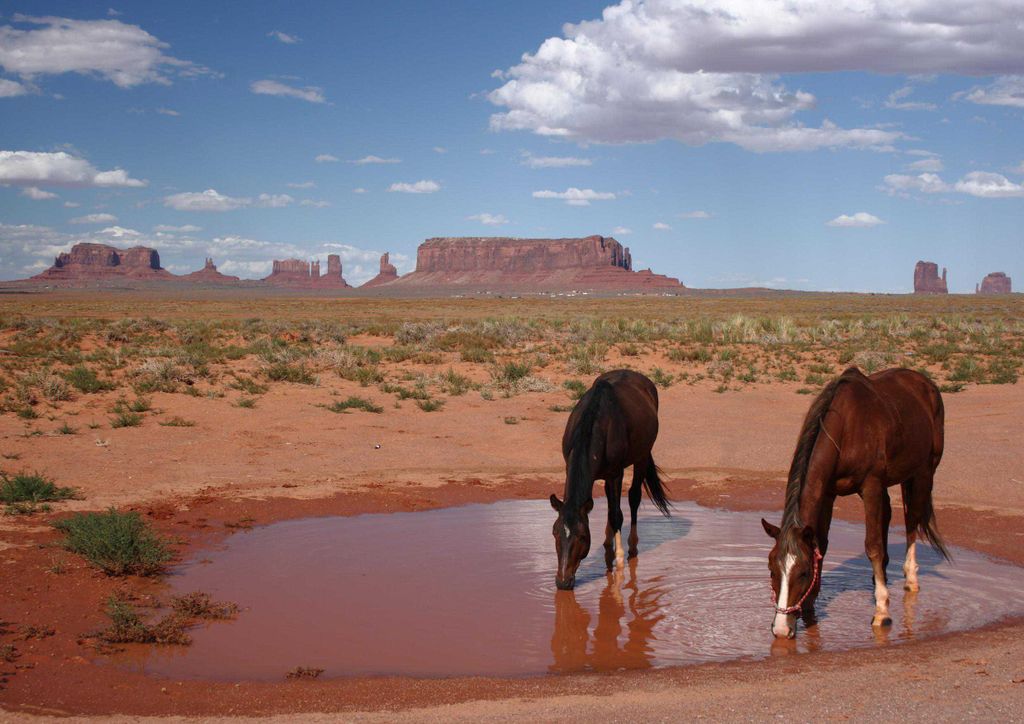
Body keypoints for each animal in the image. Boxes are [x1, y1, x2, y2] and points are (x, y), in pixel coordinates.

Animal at [550, 369, 670, 590]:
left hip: (641, 457)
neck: (597, 424)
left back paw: (631, 544)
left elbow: (617, 514)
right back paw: (607, 540)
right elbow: (610, 509)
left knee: (633, 498)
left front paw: (620, 561)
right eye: (555, 532)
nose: (563, 582)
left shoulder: (616, 473)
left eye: (582, 536)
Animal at [761, 366, 950, 639]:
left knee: (912, 519)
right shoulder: (828, 493)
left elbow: (872, 545)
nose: (781, 629)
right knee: (890, 515)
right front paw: (810, 606)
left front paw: (882, 611)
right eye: (772, 570)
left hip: (923, 472)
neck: (846, 429)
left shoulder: (870, 486)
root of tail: (925, 383)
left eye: (804, 572)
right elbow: (822, 544)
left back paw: (909, 579)